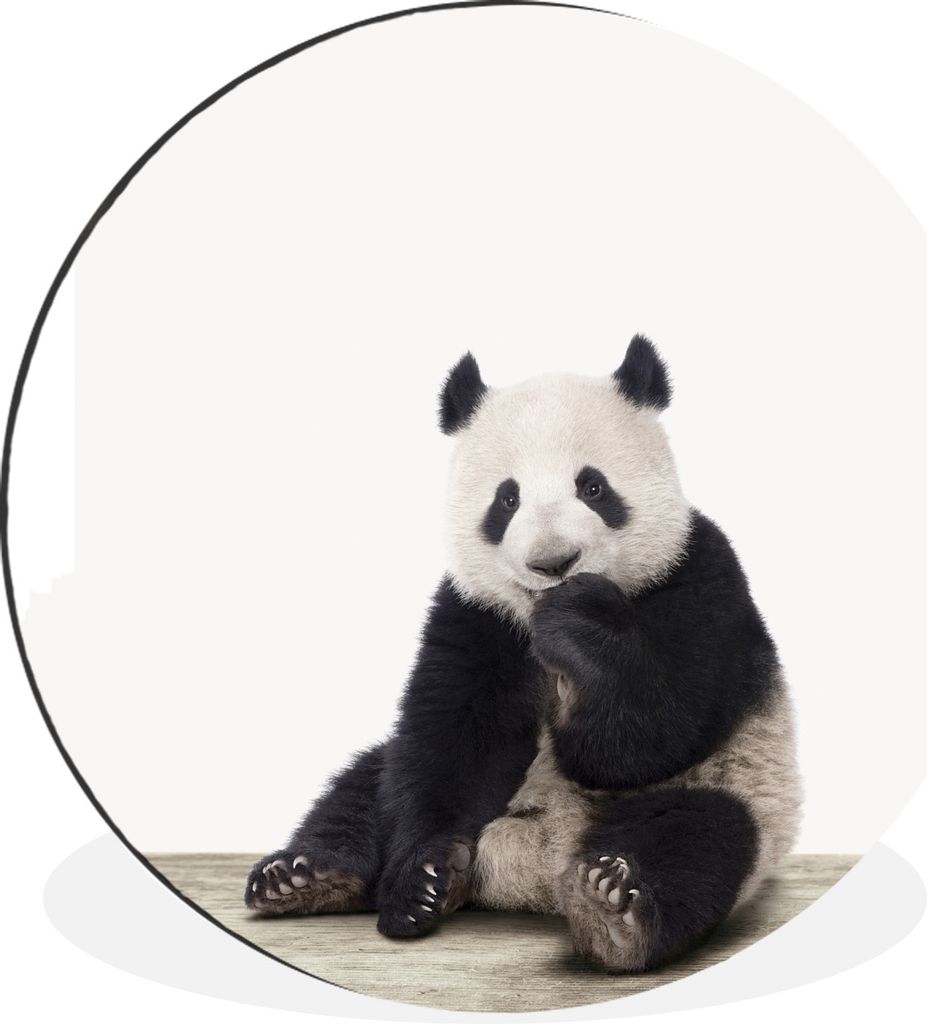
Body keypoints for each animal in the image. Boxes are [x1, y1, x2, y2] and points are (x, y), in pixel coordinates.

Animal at [245, 335, 802, 972]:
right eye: (507, 499)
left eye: (593, 487)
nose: (553, 562)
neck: (535, 617)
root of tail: (534, 871)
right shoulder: (477, 614)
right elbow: (453, 741)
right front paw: (422, 881)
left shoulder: (700, 575)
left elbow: (647, 735)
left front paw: (581, 624)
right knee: (365, 786)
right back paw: (307, 877)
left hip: (737, 788)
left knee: (699, 839)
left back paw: (613, 910)